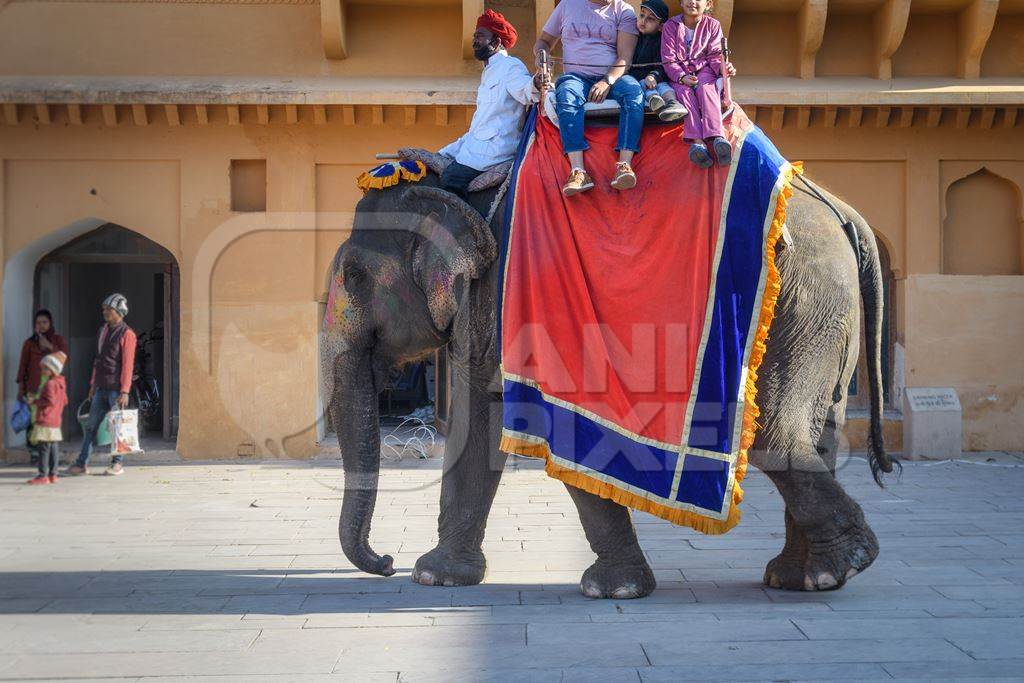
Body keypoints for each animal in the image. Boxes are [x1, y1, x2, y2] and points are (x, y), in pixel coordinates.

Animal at [321, 166, 897, 598]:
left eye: (354, 276)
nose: (385, 561)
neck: (459, 191)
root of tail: (846, 213)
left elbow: (545, 425)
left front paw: (610, 590)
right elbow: (479, 418)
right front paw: (438, 577)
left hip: (798, 300)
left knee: (774, 433)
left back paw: (849, 559)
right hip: (823, 313)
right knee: (822, 429)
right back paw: (807, 577)